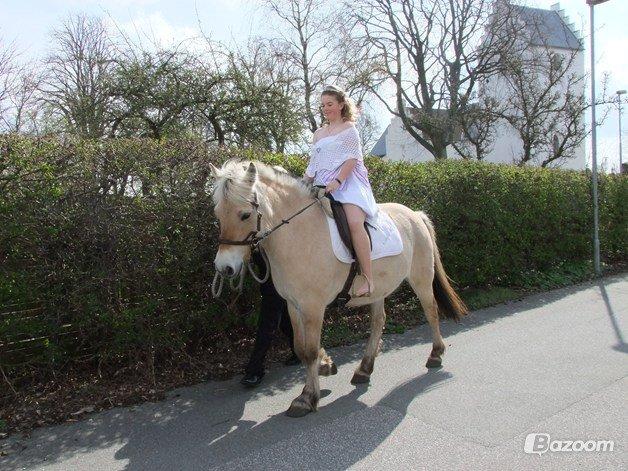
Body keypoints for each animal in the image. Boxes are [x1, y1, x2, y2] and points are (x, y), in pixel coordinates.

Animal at [211, 160, 466, 418]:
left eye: (245, 214)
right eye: (218, 215)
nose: (225, 267)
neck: (299, 233)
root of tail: (415, 214)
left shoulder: (313, 307)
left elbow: (310, 350)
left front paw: (306, 398)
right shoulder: (293, 304)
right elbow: (300, 348)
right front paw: (321, 371)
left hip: (421, 278)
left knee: (431, 310)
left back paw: (435, 354)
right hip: (378, 289)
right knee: (378, 322)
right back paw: (364, 369)